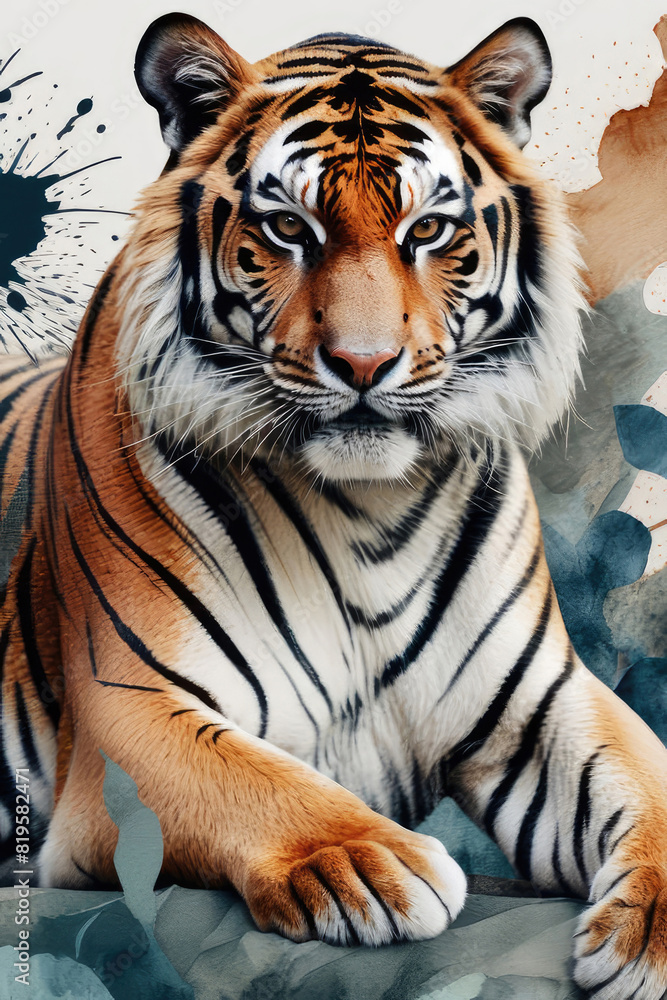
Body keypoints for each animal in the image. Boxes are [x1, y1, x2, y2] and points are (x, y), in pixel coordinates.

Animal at [0, 12, 665, 998]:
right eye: (288, 226)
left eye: (429, 230)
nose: (362, 364)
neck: (367, 512)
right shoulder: (130, 712)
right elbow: (258, 784)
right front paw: (372, 862)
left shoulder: (537, 702)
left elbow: (646, 782)